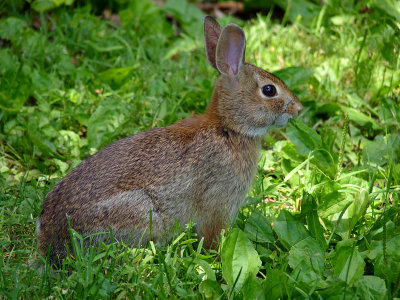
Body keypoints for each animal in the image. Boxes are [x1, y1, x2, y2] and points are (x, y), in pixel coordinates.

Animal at [37, 16, 302, 264]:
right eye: (269, 90)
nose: (298, 109)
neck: (229, 128)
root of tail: (53, 239)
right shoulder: (218, 203)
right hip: (140, 213)